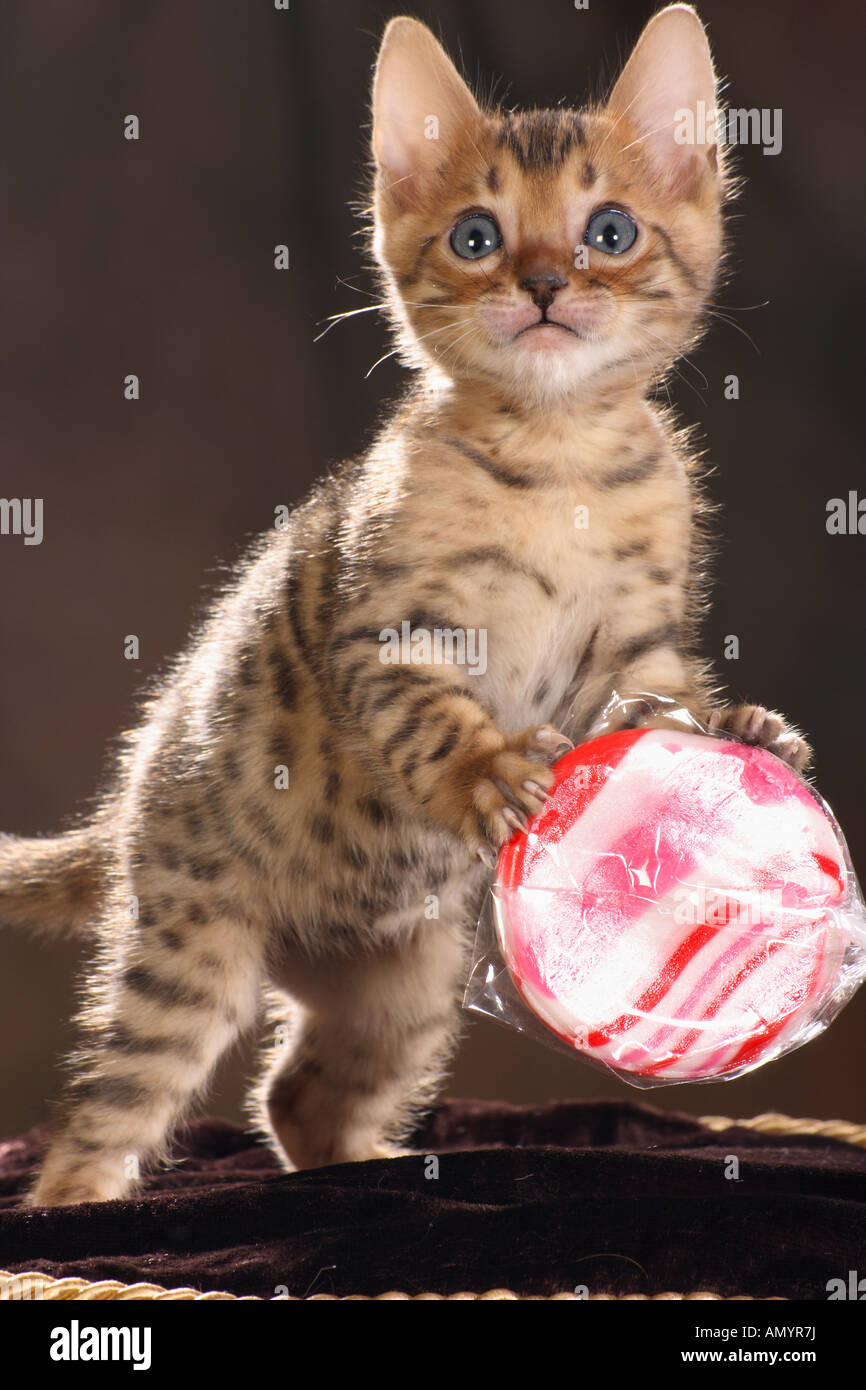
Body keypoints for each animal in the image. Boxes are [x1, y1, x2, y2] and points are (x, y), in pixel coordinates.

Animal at [1, 5, 811, 1206]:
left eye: (609, 230)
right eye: (476, 237)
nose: (541, 283)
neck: (557, 461)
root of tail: (134, 808)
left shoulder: (638, 644)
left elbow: (663, 708)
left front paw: (743, 731)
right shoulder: (390, 628)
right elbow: (433, 718)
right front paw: (487, 773)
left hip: (409, 985)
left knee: (297, 1096)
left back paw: (375, 1170)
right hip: (190, 956)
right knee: (95, 1129)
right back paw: (87, 1209)